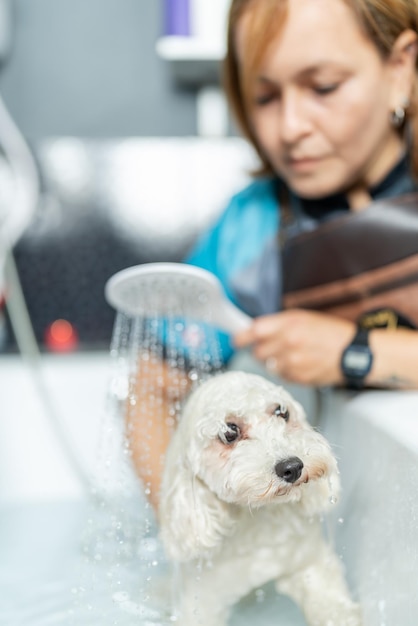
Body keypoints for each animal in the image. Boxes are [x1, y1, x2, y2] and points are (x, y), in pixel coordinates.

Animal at [158, 370, 360, 624]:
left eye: (282, 412)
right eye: (229, 432)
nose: (292, 467)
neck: (259, 526)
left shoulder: (309, 561)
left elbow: (329, 600)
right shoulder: (203, 601)